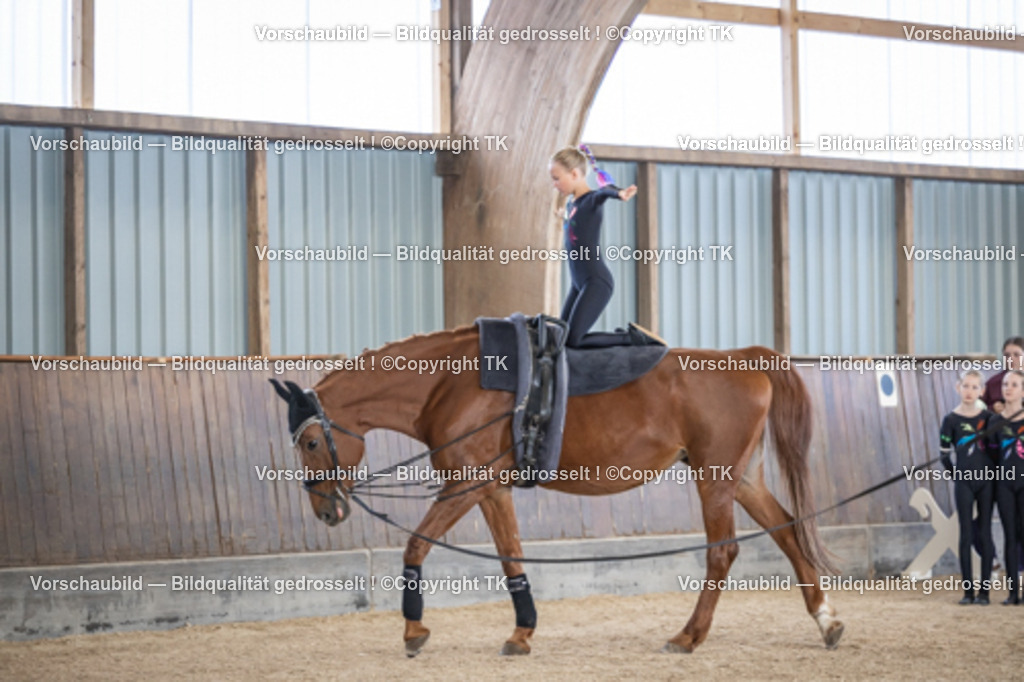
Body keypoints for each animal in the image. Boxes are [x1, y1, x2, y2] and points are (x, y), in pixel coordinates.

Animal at [269, 324, 844, 657]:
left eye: (313, 442)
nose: (326, 510)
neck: (452, 384)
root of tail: (745, 358)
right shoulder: (490, 489)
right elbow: (511, 558)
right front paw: (522, 632)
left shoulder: (464, 484)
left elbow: (415, 545)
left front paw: (414, 632)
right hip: (740, 478)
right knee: (788, 531)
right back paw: (825, 620)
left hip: (714, 480)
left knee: (723, 552)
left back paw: (689, 636)